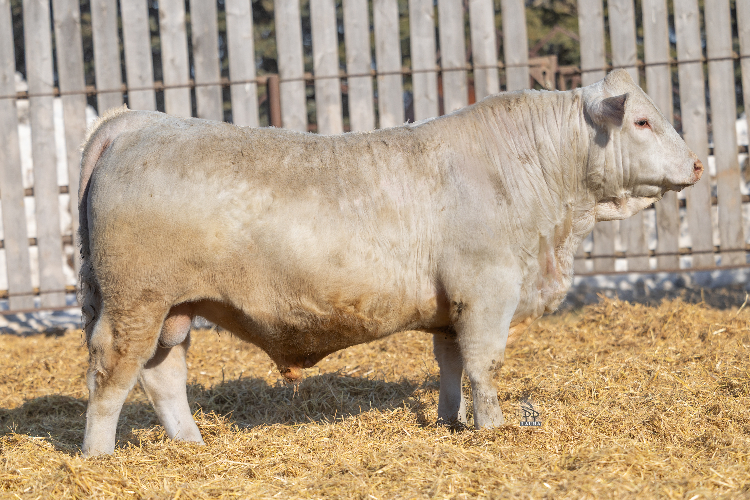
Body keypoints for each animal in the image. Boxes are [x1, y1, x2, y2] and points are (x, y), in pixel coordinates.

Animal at [78, 69, 702, 455]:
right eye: (642, 121)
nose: (697, 164)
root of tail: (140, 120)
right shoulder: (488, 290)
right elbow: (485, 365)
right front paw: (493, 428)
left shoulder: (453, 305)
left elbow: (451, 364)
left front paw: (452, 422)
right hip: (135, 300)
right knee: (112, 373)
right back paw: (99, 456)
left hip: (172, 310)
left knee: (162, 375)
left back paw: (191, 444)